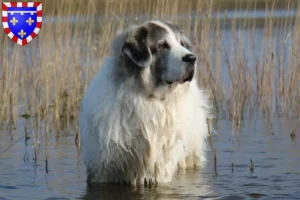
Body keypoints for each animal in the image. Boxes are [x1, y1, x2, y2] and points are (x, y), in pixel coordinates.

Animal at [78, 19, 212, 186]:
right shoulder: (103, 170)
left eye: (181, 44)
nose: (192, 58)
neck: (149, 97)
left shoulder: (160, 168)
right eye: (162, 45)